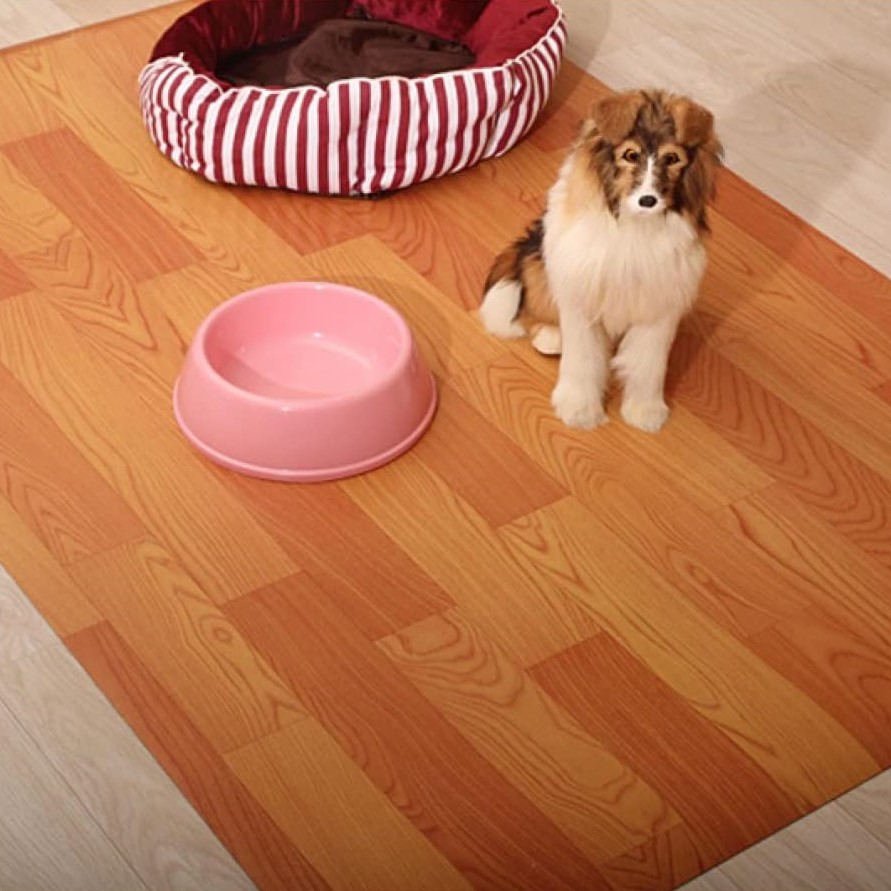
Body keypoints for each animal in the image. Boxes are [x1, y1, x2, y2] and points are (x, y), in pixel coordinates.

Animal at [479, 89, 722, 432]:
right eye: (630, 155)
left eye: (672, 158)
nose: (648, 200)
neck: (636, 226)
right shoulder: (583, 300)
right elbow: (582, 360)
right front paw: (579, 411)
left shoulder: (658, 308)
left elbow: (649, 365)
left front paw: (645, 413)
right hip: (541, 264)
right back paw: (551, 338)